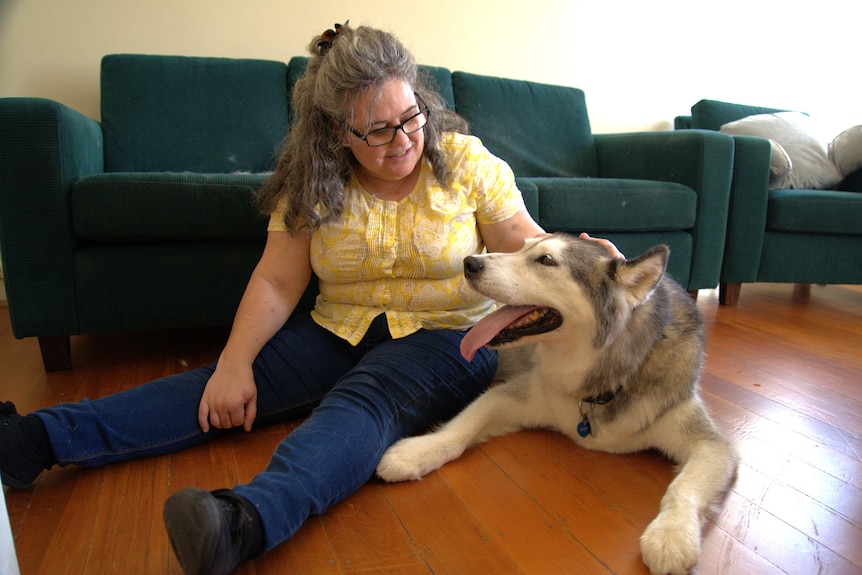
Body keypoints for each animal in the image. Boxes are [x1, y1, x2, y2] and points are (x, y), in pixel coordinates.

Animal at [378, 234, 744, 575]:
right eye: (521, 247)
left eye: (546, 260)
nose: (470, 263)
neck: (603, 383)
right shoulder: (521, 395)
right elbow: (460, 428)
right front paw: (416, 453)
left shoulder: (709, 442)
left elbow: (684, 487)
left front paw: (671, 535)